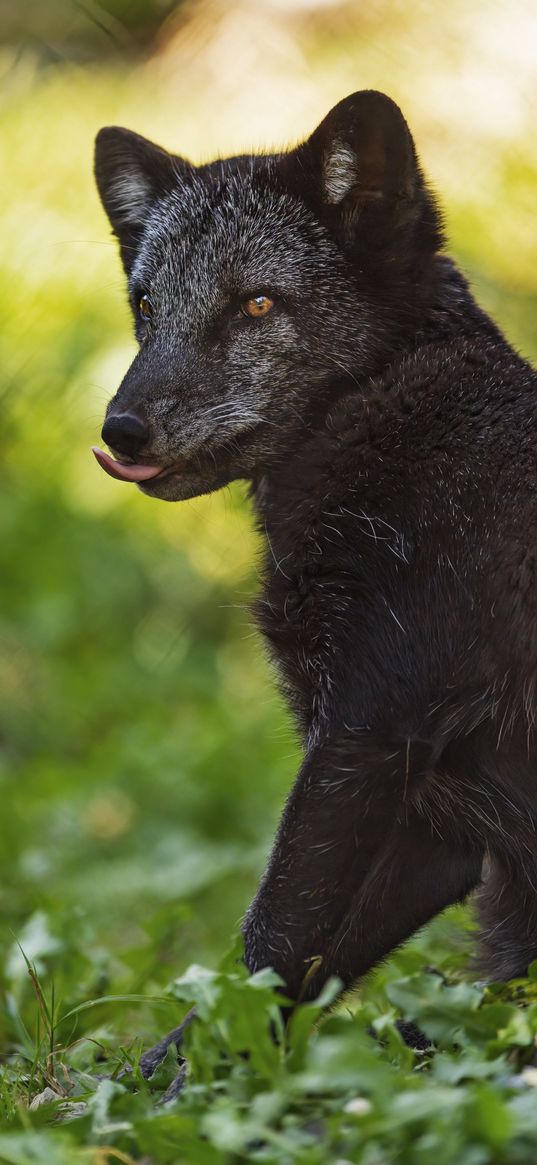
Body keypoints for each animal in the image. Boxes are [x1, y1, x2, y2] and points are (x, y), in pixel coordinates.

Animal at [94, 90, 535, 1006]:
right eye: (146, 306)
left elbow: (272, 938)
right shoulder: (437, 813)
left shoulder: (364, 733)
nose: (121, 430)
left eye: (257, 305)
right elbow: (301, 973)